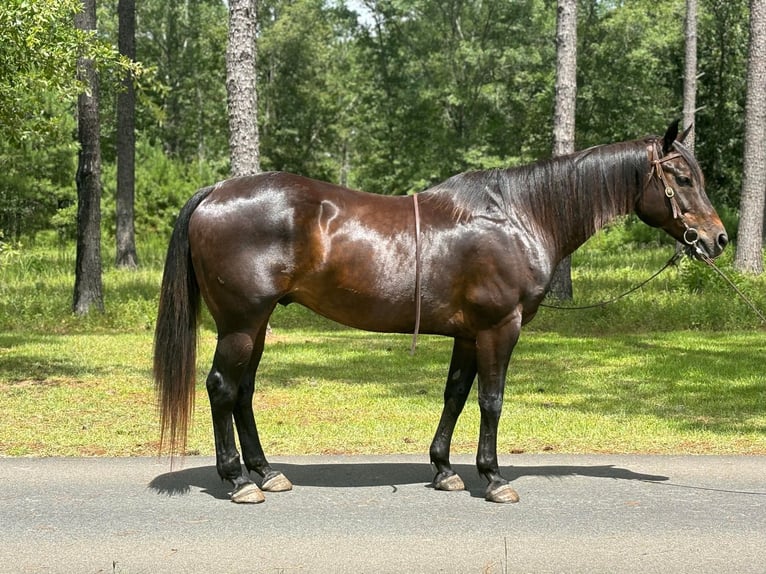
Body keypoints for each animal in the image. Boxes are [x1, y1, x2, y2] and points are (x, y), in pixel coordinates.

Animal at [154, 120, 728, 504]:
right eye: (681, 177)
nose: (716, 239)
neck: (518, 216)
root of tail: (216, 192)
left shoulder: (469, 334)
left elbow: (455, 395)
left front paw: (444, 469)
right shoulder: (499, 328)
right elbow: (492, 401)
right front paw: (493, 478)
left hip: (257, 323)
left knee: (243, 391)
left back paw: (266, 472)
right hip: (241, 322)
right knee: (222, 388)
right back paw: (238, 480)